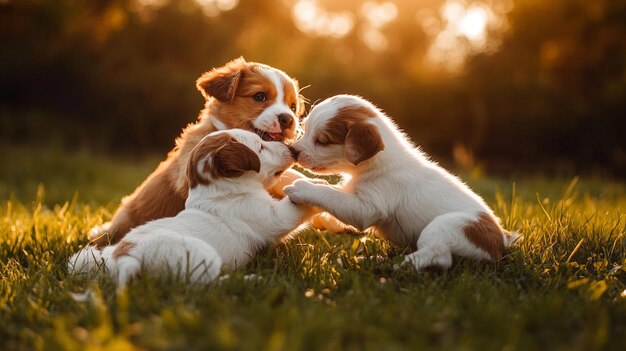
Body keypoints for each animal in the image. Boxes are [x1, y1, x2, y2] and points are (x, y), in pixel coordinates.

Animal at [69, 129, 312, 286]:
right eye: (260, 147)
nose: (291, 148)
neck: (218, 190)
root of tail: (121, 259)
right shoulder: (274, 216)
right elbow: (295, 209)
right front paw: (312, 188)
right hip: (202, 255)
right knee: (211, 285)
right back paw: (250, 280)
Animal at [284, 95, 516, 270]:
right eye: (305, 129)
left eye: (322, 141)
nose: (293, 151)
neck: (377, 164)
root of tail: (501, 243)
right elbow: (333, 190)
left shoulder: (367, 207)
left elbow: (330, 194)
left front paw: (303, 188)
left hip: (446, 226)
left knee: (439, 256)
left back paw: (391, 266)